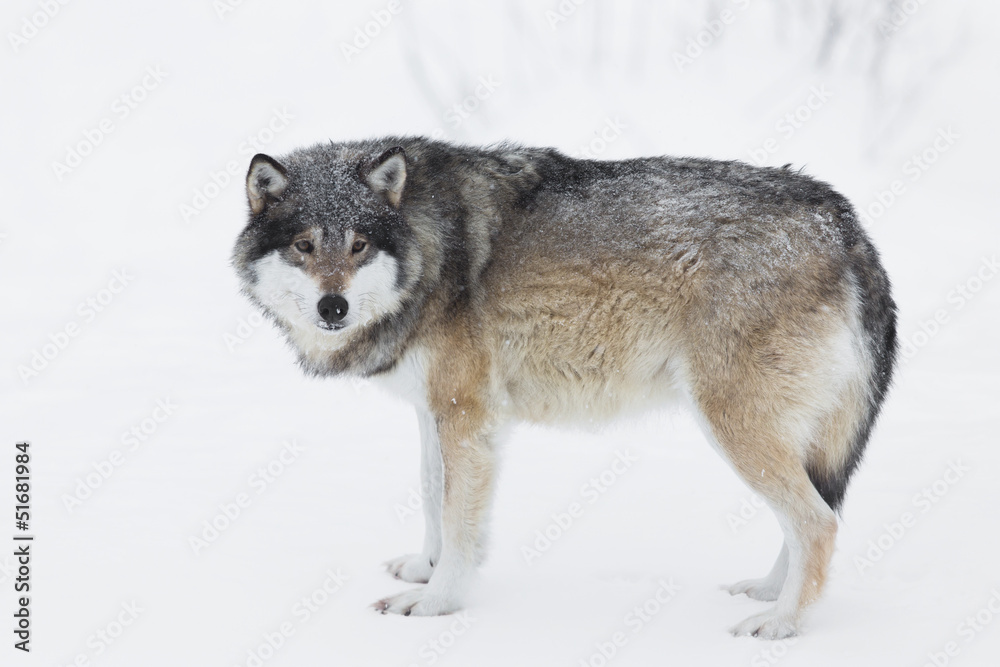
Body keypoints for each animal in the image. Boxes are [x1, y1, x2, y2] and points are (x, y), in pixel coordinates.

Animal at [232, 137, 897, 639]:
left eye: (359, 244)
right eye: (304, 246)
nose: (334, 307)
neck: (428, 242)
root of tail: (843, 220)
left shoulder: (465, 412)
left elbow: (456, 514)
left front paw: (436, 603)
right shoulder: (436, 410)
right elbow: (429, 493)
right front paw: (425, 568)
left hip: (731, 422)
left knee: (818, 522)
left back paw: (781, 624)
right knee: (813, 510)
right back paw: (766, 591)